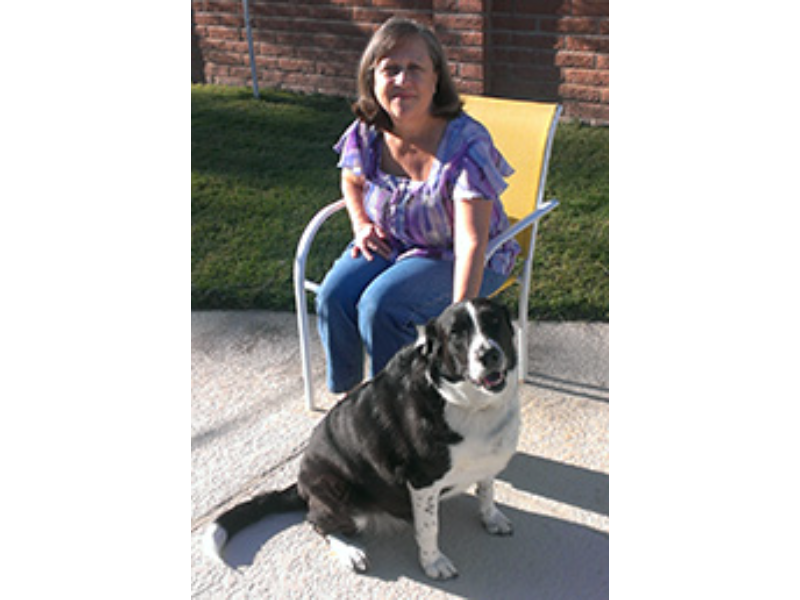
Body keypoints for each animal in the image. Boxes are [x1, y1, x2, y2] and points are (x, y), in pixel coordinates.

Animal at [206, 300, 520, 580]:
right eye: (455, 333)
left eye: (493, 321)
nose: (489, 355)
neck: (470, 403)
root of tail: (301, 484)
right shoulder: (422, 481)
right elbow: (429, 528)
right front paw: (433, 562)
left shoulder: (486, 462)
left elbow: (487, 490)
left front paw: (491, 517)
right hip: (337, 490)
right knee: (316, 522)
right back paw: (349, 552)